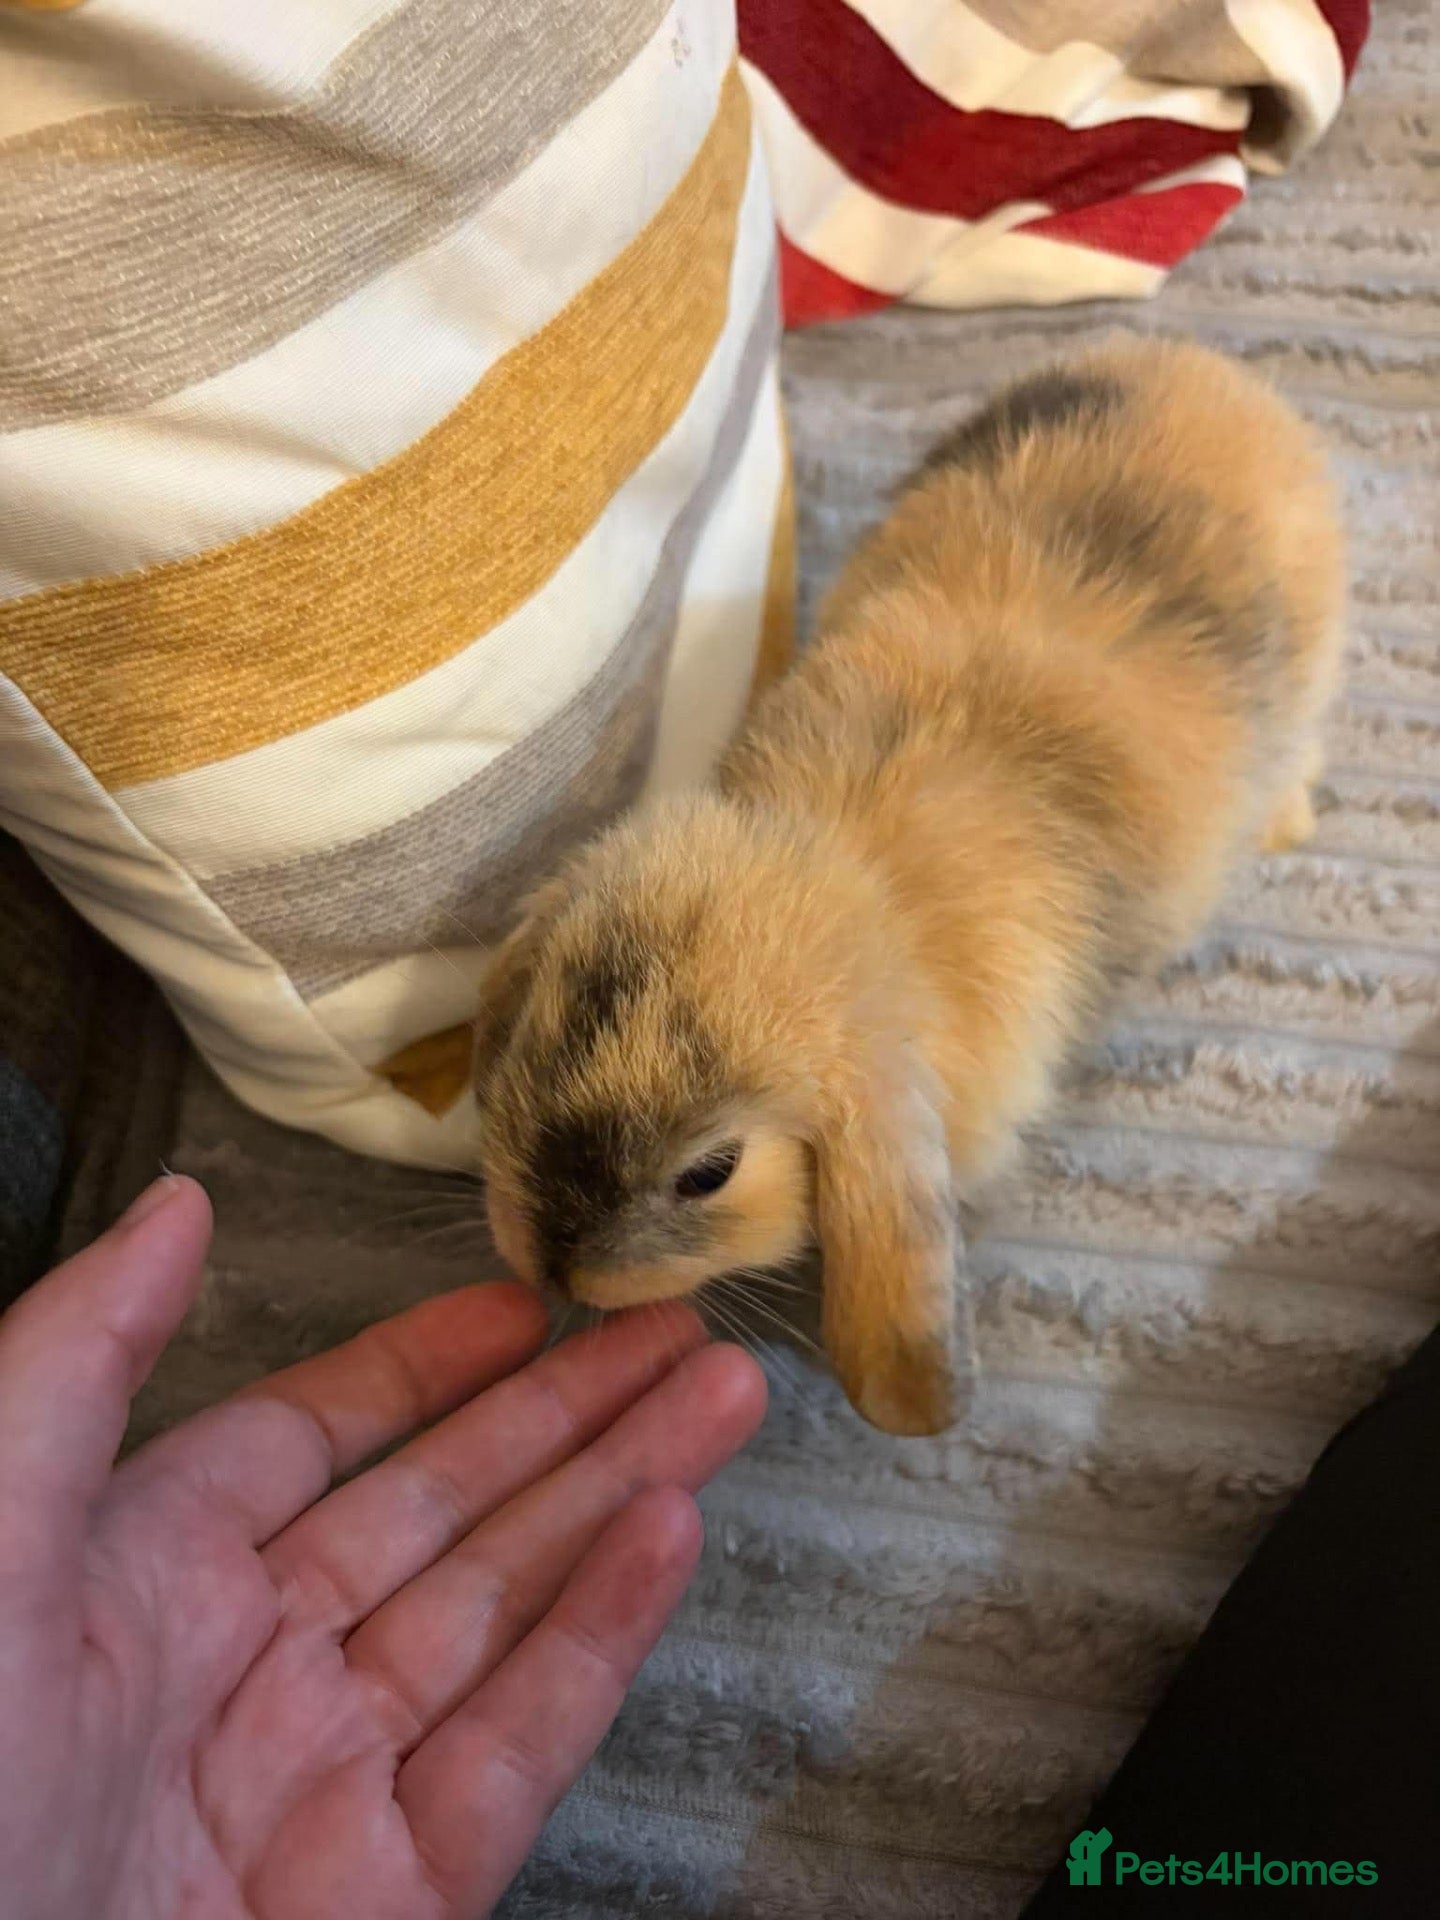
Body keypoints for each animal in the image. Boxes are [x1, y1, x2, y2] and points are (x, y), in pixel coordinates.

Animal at [471, 335, 1345, 1437]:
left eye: (711, 1173)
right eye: (533, 1049)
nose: (550, 1268)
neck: (849, 870)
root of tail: (1213, 375)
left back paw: (1285, 821)